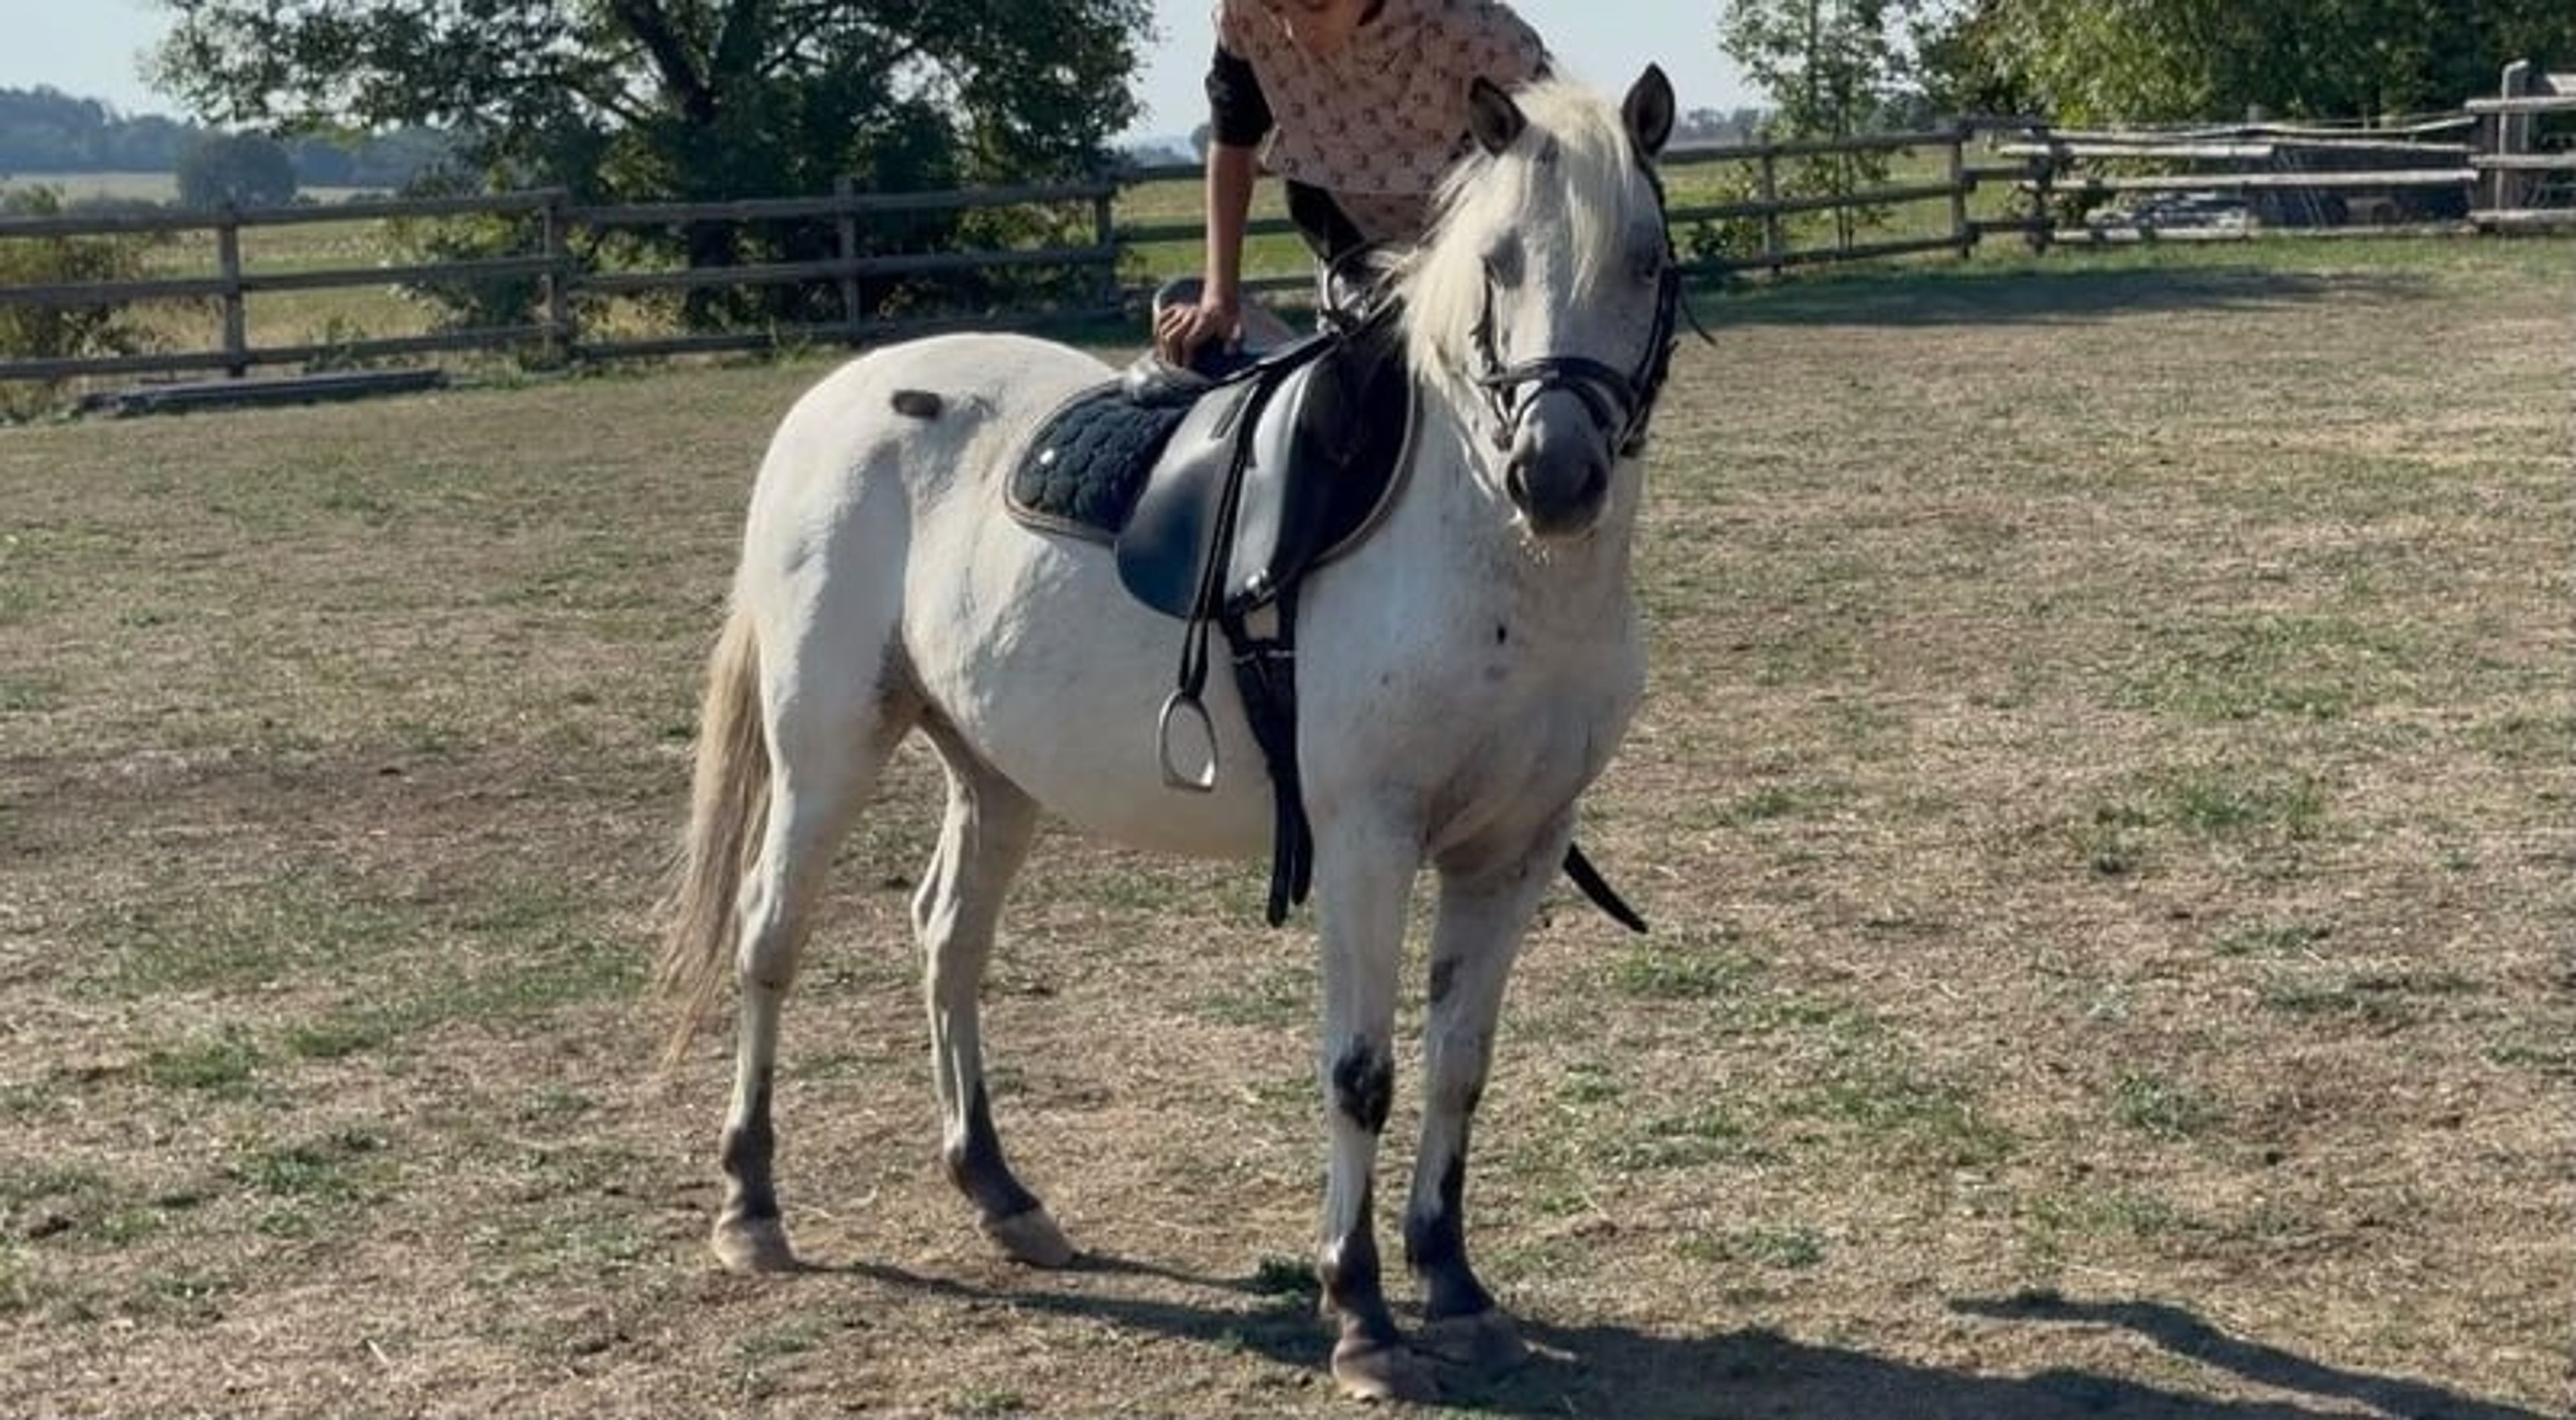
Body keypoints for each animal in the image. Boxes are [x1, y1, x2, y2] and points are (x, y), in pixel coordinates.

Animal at [655, 66, 1682, 1402]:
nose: (1553, 475)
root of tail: (838, 399)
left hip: (995, 773)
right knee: (770, 937)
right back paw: (752, 1205)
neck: (1483, 553)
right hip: (824, 747)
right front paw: (1361, 1314)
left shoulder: (1512, 851)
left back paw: (1001, 1193)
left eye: (1648, 259)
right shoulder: (1365, 842)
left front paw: (1454, 1286)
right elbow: (1362, 1071)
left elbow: (1461, 1062)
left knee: (949, 940)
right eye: (1497, 263)